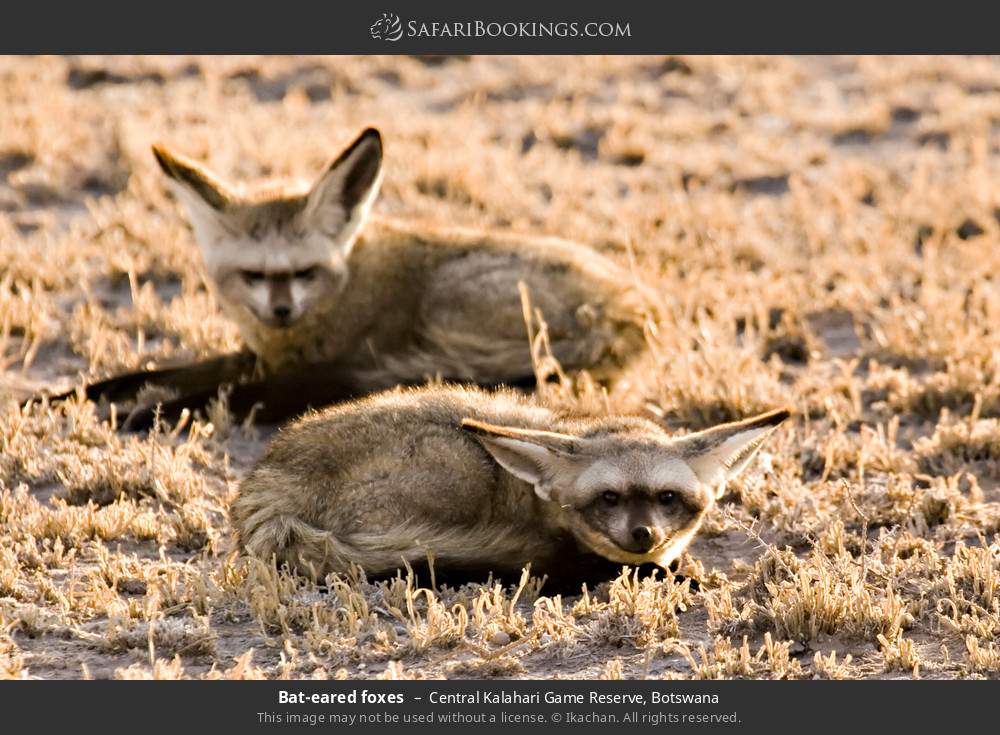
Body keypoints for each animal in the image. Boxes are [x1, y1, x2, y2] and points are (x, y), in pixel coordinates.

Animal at [61, 127, 651, 429]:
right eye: (253, 275)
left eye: (304, 272)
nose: (281, 311)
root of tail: (637, 313)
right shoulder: (259, 354)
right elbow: (156, 372)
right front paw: (73, 394)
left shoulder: (302, 361)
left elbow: (219, 389)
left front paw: (151, 409)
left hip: (446, 298)